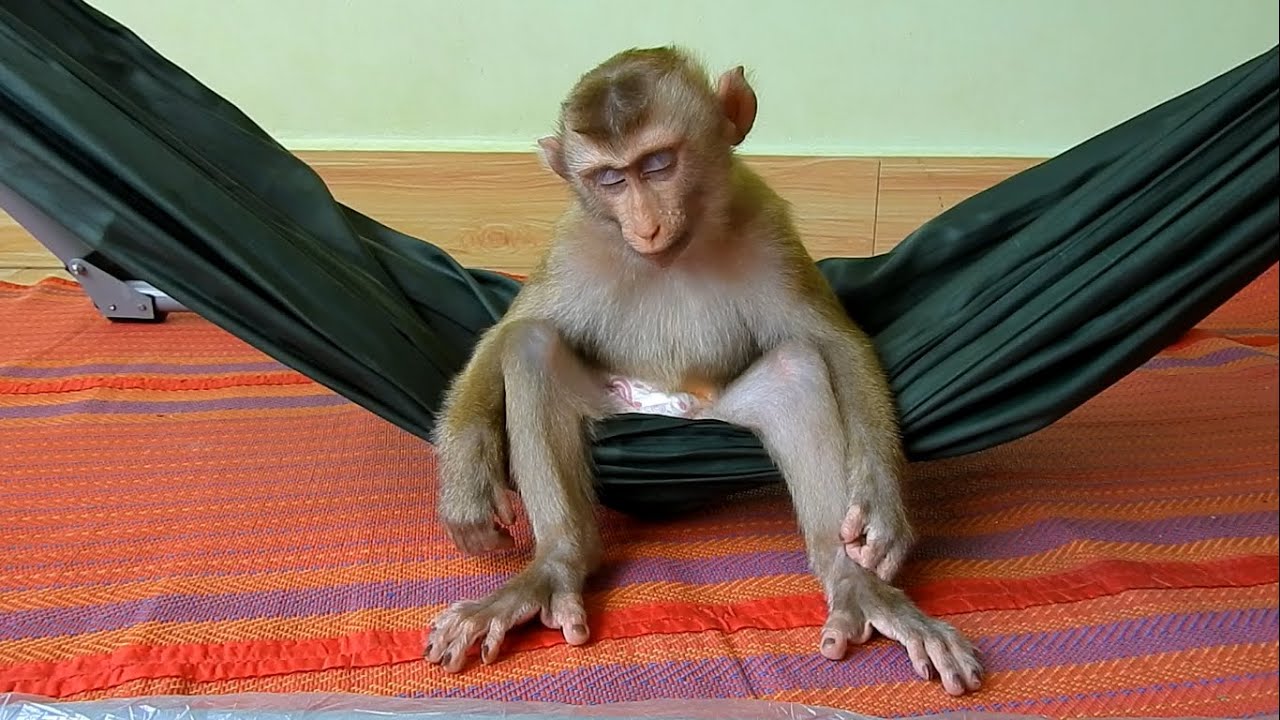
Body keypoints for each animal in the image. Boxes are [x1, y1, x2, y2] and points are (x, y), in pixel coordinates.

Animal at [424, 46, 983, 697]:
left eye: (658, 164)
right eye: (610, 179)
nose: (644, 224)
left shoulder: (767, 225)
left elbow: (835, 344)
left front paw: (880, 505)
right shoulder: (573, 244)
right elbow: (500, 339)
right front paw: (468, 478)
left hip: (718, 413)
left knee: (796, 369)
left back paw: (857, 585)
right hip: (616, 402)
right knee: (532, 346)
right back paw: (556, 564)